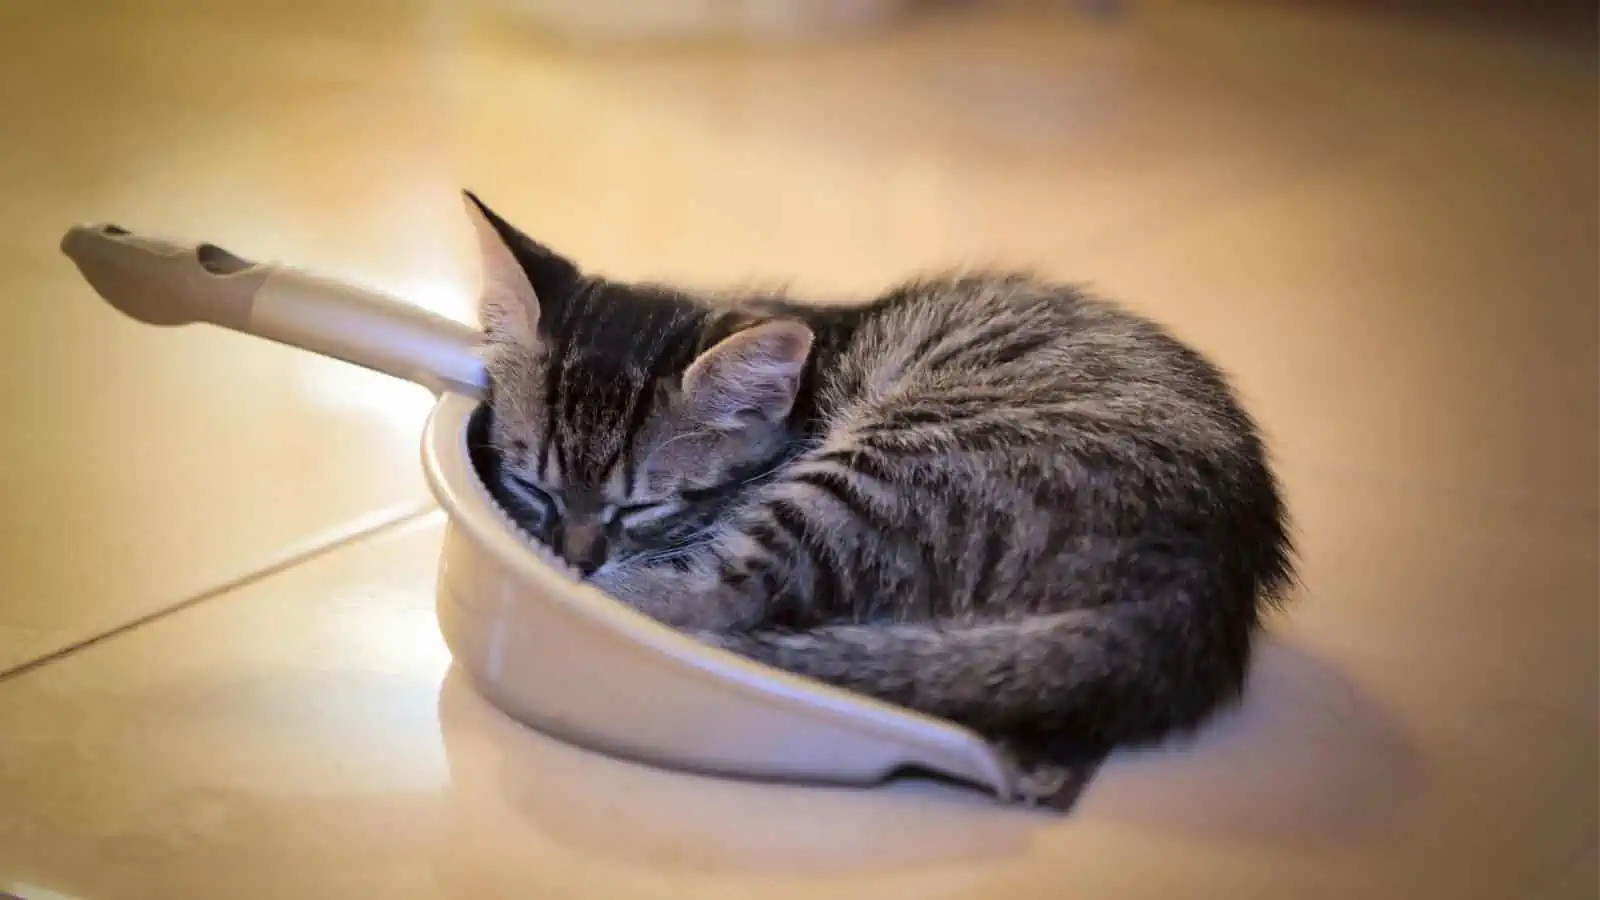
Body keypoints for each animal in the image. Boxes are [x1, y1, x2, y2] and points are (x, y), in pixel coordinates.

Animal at [467, 190, 1292, 807]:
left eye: (640, 509)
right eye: (533, 484)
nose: (573, 558)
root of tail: (1208, 585)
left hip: (886, 471)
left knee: (715, 596)